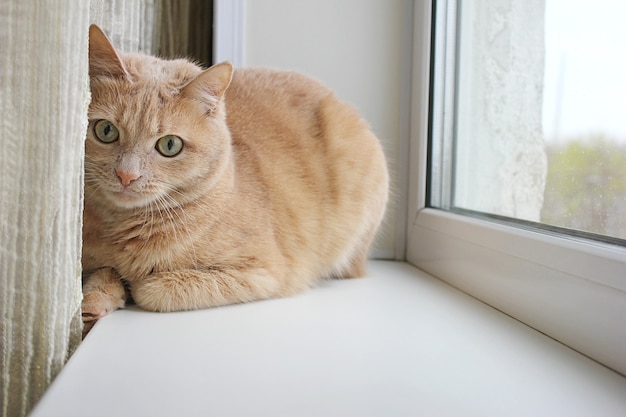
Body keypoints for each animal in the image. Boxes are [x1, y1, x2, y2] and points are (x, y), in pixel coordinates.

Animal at [82, 25, 386, 332]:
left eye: (169, 145)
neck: (124, 228)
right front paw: (96, 300)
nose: (127, 174)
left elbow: (155, 289)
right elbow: (103, 272)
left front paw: (133, 286)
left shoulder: (263, 273)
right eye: (106, 131)